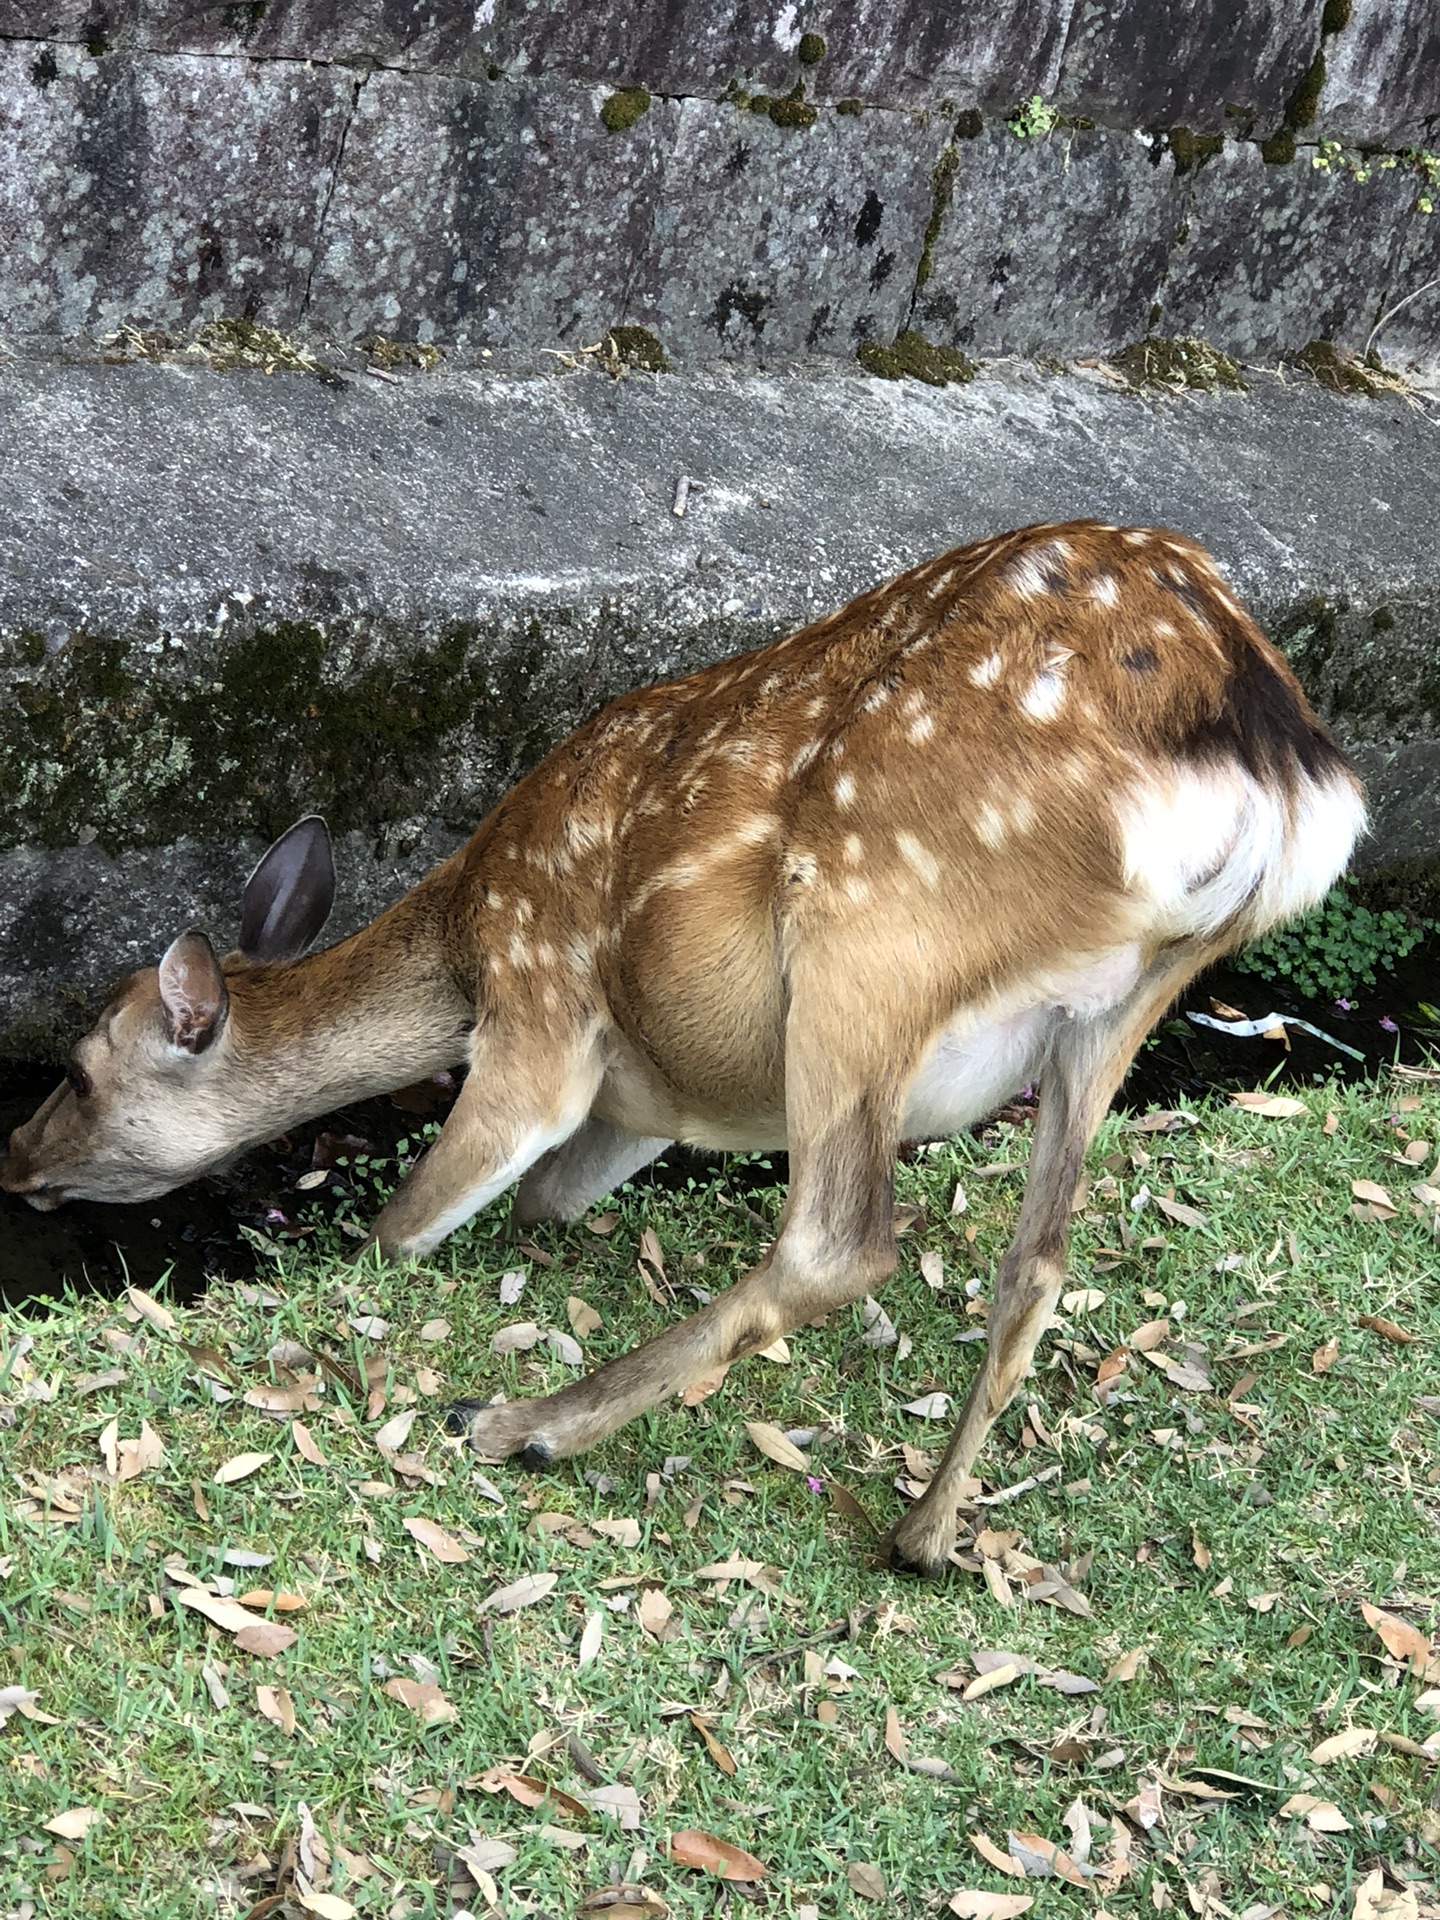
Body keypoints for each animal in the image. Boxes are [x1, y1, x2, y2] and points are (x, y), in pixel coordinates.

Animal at [2, 522, 1367, 1574]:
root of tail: (1276, 773)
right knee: (1035, 1263)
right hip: (1120, 1010)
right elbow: (545, 1206)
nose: (14, 1159)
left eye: (77, 1068)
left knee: (839, 1239)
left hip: (873, 922)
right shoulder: (644, 1100)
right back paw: (922, 1537)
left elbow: (411, 1223)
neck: (464, 936)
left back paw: (519, 1424)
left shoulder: (544, 1016)